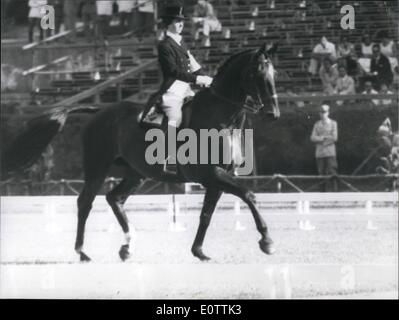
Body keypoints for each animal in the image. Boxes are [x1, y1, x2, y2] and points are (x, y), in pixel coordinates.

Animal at [5, 42, 282, 262]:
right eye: (256, 72)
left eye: (274, 72)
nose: (273, 113)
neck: (220, 118)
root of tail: (100, 111)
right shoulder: (211, 174)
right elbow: (249, 195)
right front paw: (267, 241)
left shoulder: (217, 179)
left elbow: (206, 215)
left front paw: (199, 251)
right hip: (97, 167)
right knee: (85, 202)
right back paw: (82, 252)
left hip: (135, 172)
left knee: (114, 199)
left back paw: (127, 247)